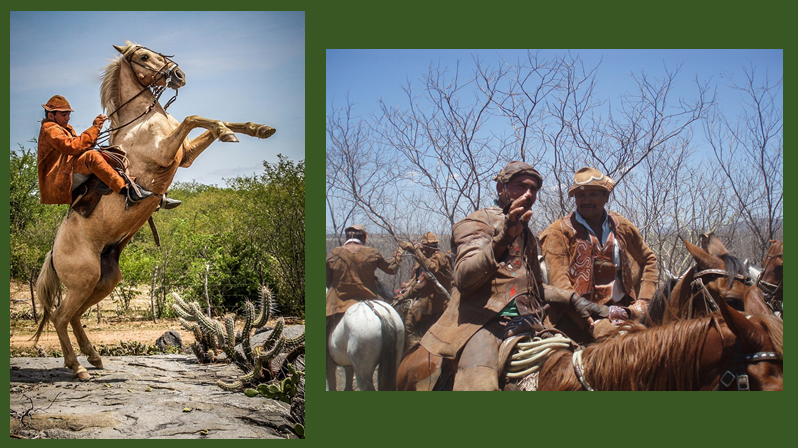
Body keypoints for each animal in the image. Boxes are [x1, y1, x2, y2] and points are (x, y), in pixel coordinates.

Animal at [34, 40, 276, 380]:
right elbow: (194, 117)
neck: (141, 121)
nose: (179, 75)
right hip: (84, 281)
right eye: (143, 56)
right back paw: (78, 367)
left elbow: (212, 123)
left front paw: (257, 128)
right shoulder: (165, 152)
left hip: (102, 281)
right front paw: (228, 131)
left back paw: (93, 357)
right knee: (59, 317)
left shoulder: (184, 154)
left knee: (73, 316)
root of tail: (53, 254)